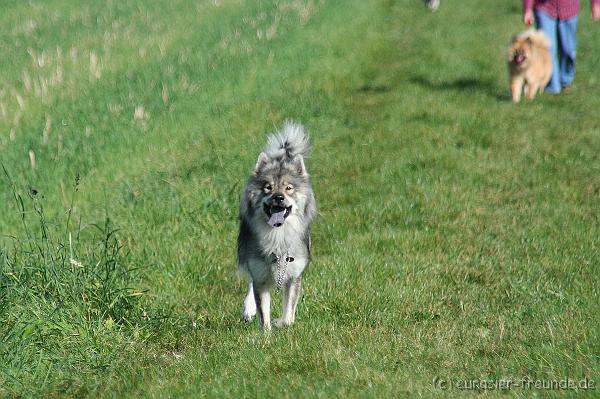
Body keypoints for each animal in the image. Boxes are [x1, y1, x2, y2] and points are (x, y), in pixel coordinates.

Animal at [237, 122, 316, 332]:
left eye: (288, 188)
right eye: (268, 187)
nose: (279, 197)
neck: (278, 234)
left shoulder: (294, 274)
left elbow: (289, 311)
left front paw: (281, 323)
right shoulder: (260, 275)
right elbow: (263, 312)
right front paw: (266, 334)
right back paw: (248, 309)